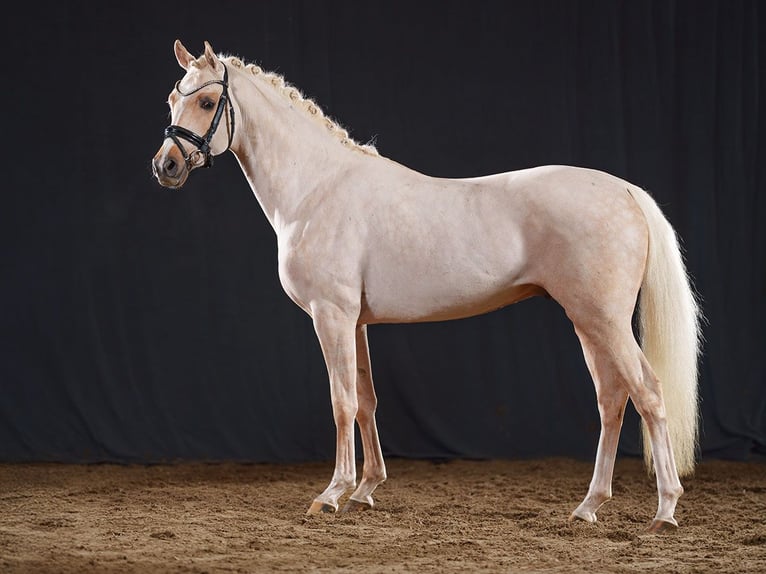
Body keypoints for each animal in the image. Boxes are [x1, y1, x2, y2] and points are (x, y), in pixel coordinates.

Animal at [153, 41, 704, 536]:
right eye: (172, 98)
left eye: (207, 102)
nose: (166, 166)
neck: (316, 188)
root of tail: (624, 190)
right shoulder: (355, 322)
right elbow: (366, 399)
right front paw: (365, 490)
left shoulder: (331, 316)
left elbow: (341, 401)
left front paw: (332, 494)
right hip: (588, 322)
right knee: (612, 399)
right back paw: (589, 506)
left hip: (604, 321)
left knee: (648, 393)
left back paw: (665, 510)